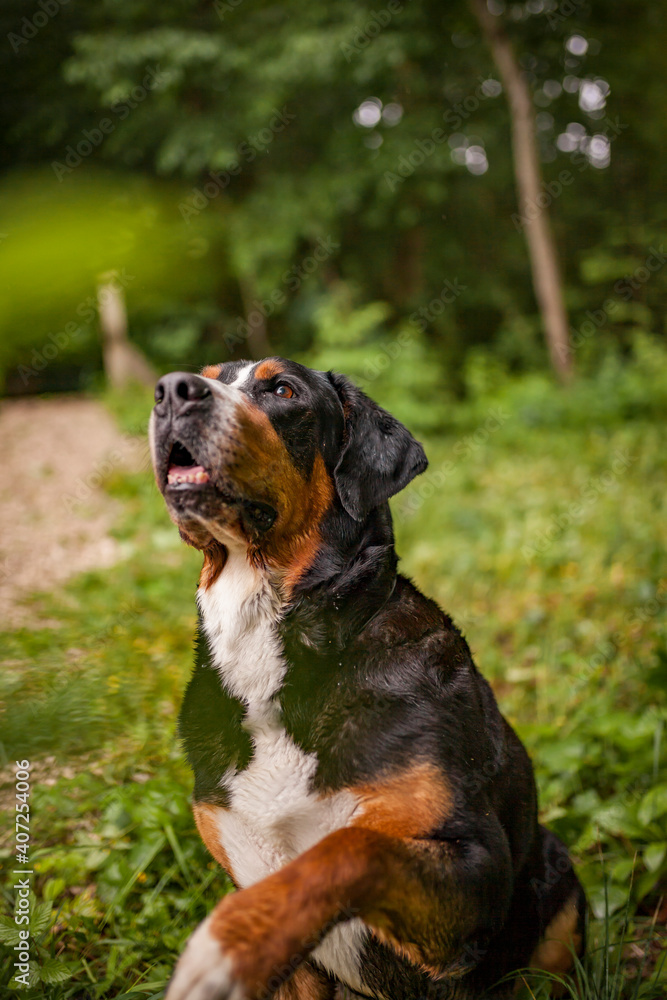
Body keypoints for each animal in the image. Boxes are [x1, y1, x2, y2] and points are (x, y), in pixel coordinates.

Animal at [147, 362, 584, 1000]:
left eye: (283, 390)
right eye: (206, 376)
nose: (171, 390)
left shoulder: (475, 868)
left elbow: (350, 848)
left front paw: (227, 940)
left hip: (556, 880)